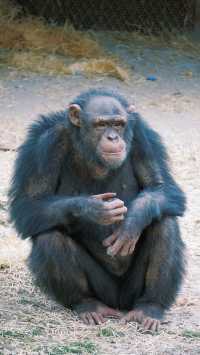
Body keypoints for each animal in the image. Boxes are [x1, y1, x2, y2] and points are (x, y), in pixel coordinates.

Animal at [8, 87, 185, 332]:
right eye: (101, 125)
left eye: (118, 124)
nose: (113, 137)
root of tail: (118, 302)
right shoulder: (44, 145)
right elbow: (28, 204)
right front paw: (93, 209)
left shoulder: (142, 135)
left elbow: (161, 186)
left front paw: (132, 221)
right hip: (103, 289)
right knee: (50, 237)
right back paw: (88, 305)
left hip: (132, 292)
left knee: (165, 224)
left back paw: (150, 307)